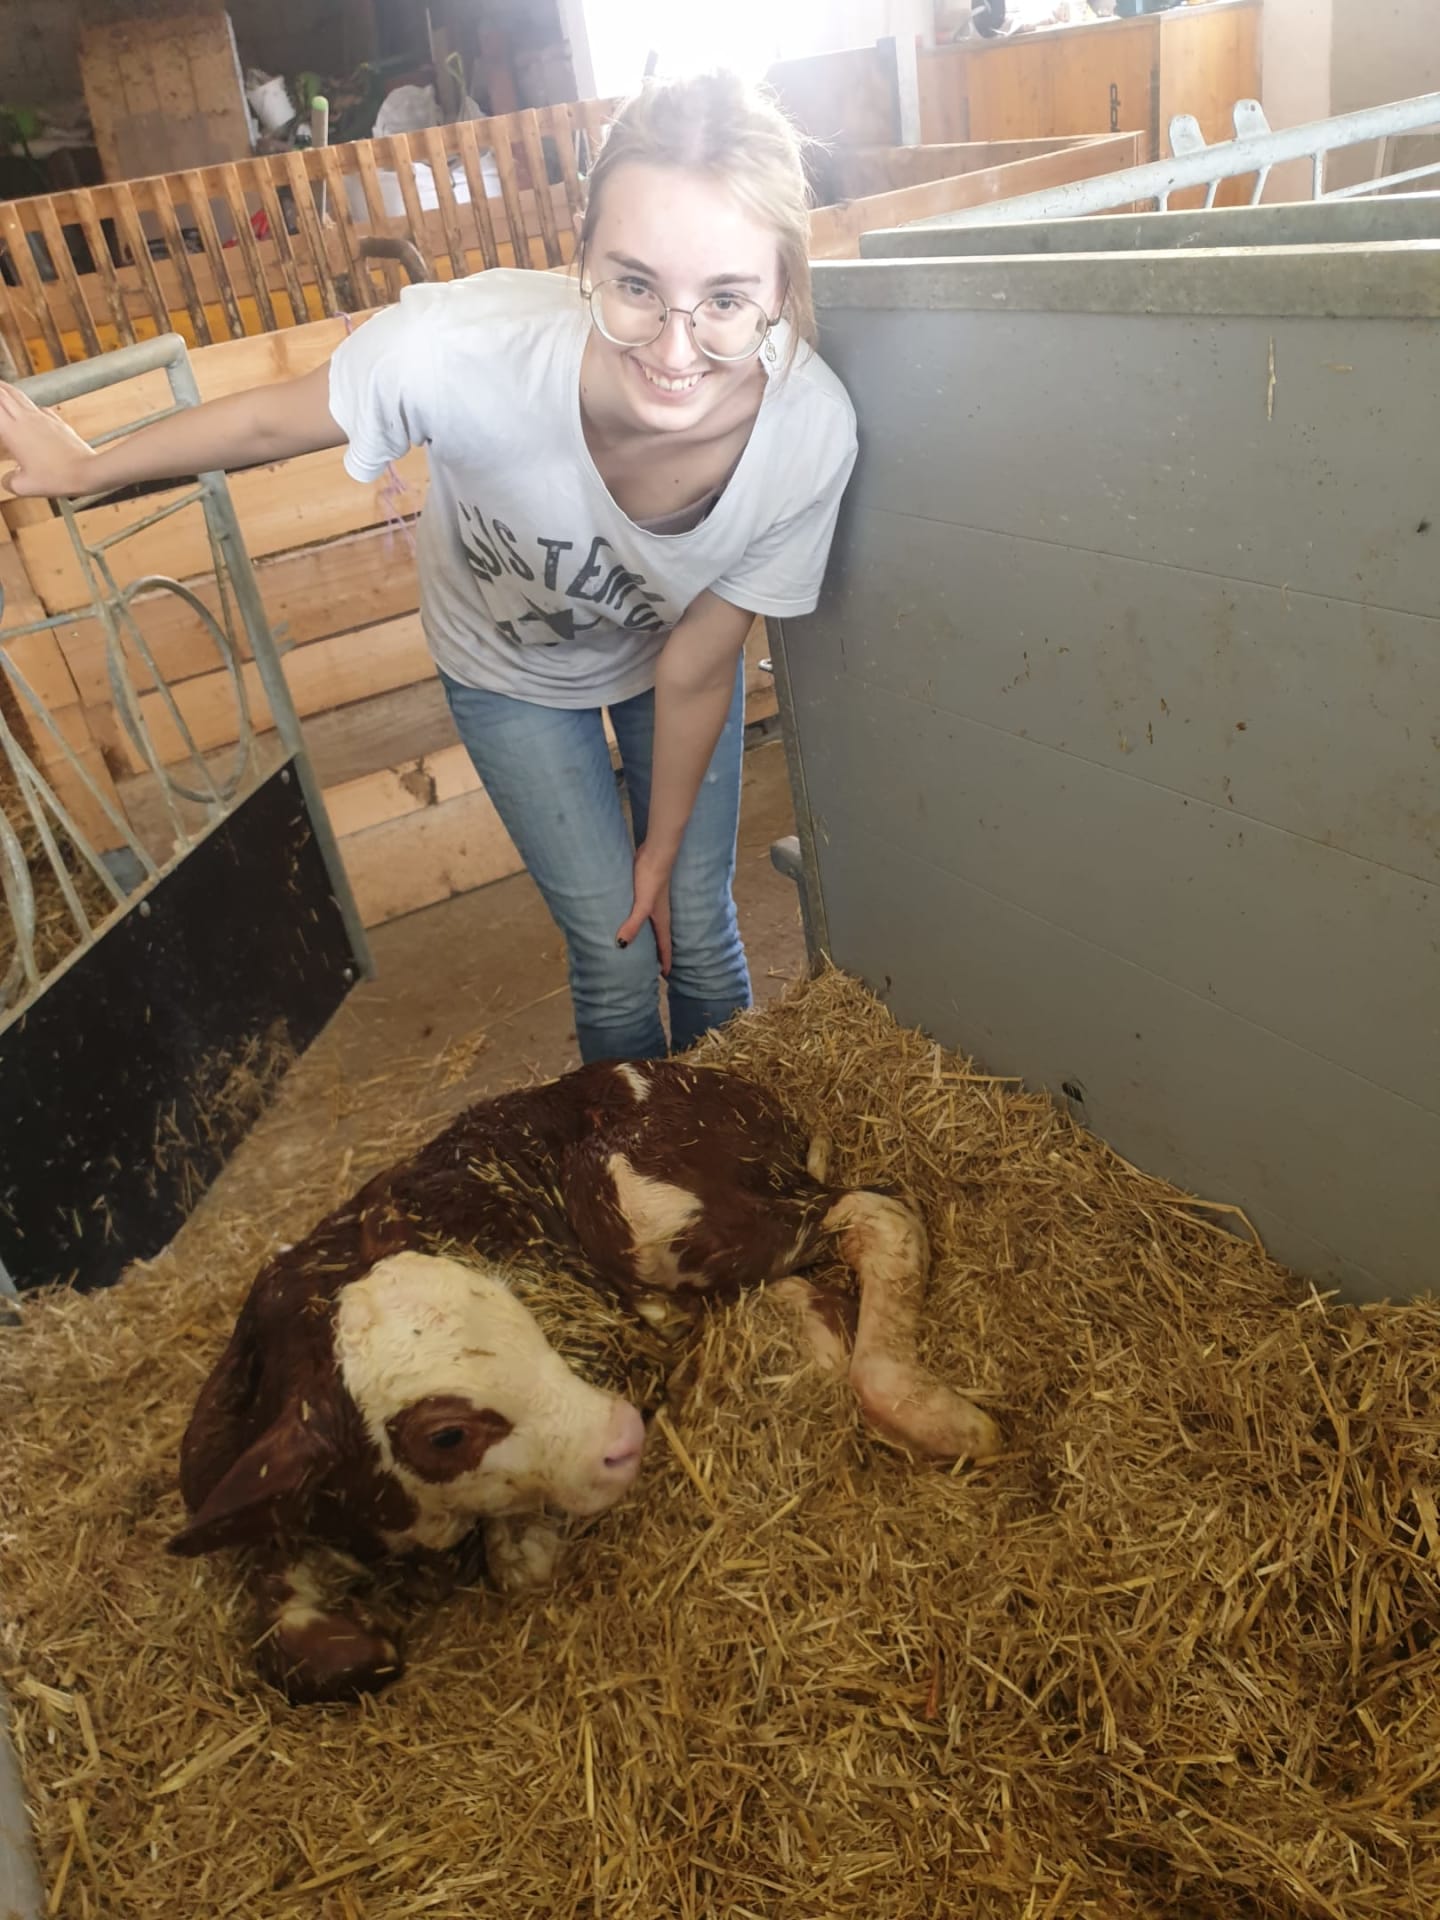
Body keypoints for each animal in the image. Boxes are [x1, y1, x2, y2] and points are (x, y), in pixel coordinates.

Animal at [168, 1059, 1001, 1701]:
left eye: (524, 1322)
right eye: (446, 1434)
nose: (622, 1436)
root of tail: (733, 1086)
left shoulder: (597, 1339)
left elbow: (519, 1564)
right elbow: (309, 1650)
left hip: (635, 1195)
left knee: (877, 1210)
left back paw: (928, 1409)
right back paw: (820, 1331)